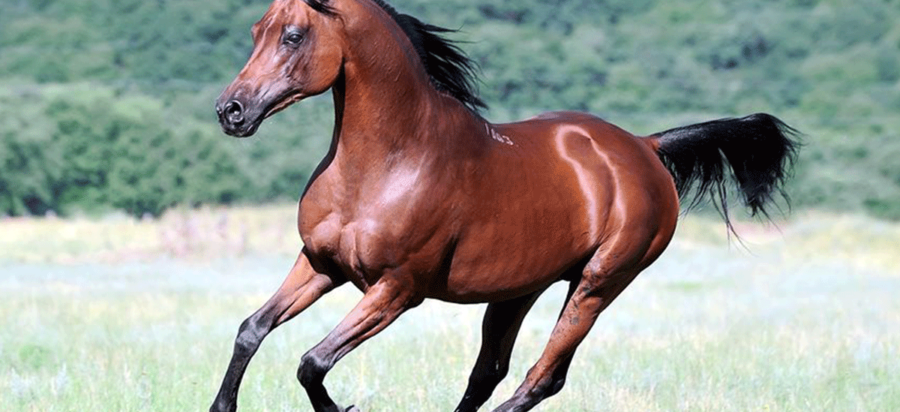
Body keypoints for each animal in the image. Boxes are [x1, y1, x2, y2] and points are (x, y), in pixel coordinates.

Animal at [213, 1, 800, 410]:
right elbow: (250, 330)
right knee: (488, 374)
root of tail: (645, 146)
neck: (388, 163)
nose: (231, 111)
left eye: (293, 35)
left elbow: (312, 363)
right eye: (256, 30)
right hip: (518, 290)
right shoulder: (320, 265)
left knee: (542, 377)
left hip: (598, 283)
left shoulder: (397, 290)